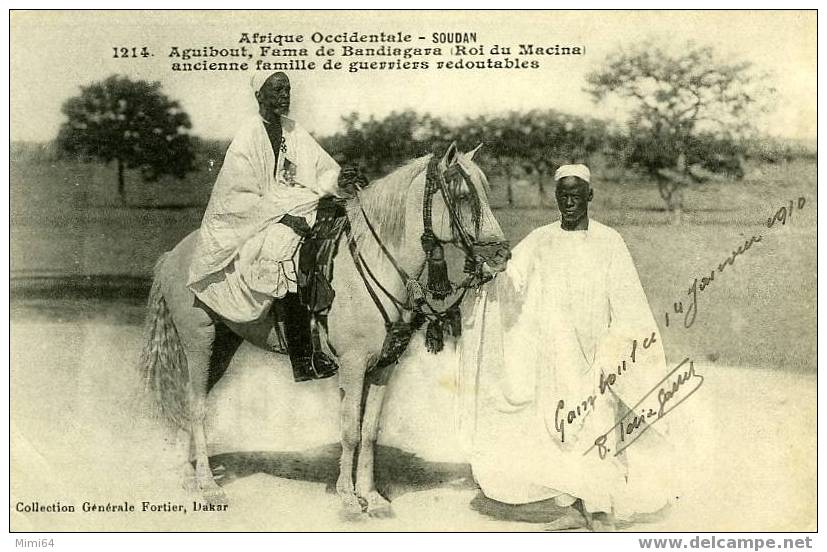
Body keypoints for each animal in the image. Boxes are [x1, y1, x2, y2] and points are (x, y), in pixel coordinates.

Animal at [141, 142, 512, 516]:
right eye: (463, 195)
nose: (501, 254)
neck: (375, 262)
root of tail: (174, 253)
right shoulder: (353, 365)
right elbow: (349, 431)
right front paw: (348, 498)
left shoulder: (383, 368)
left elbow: (369, 432)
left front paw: (372, 497)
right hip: (199, 340)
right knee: (197, 406)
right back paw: (208, 486)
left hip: (222, 345)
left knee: (193, 399)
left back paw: (190, 476)